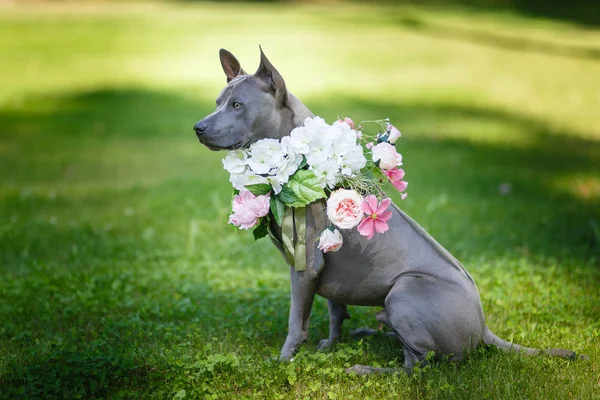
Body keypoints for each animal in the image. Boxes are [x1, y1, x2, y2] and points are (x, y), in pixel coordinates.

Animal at [193, 48, 580, 374]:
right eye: (218, 102)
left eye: (238, 105)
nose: (198, 127)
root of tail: (484, 329)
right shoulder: (331, 271)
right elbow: (335, 312)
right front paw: (330, 345)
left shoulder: (306, 266)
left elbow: (295, 323)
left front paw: (283, 360)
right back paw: (372, 333)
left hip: (404, 291)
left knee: (418, 366)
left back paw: (366, 368)